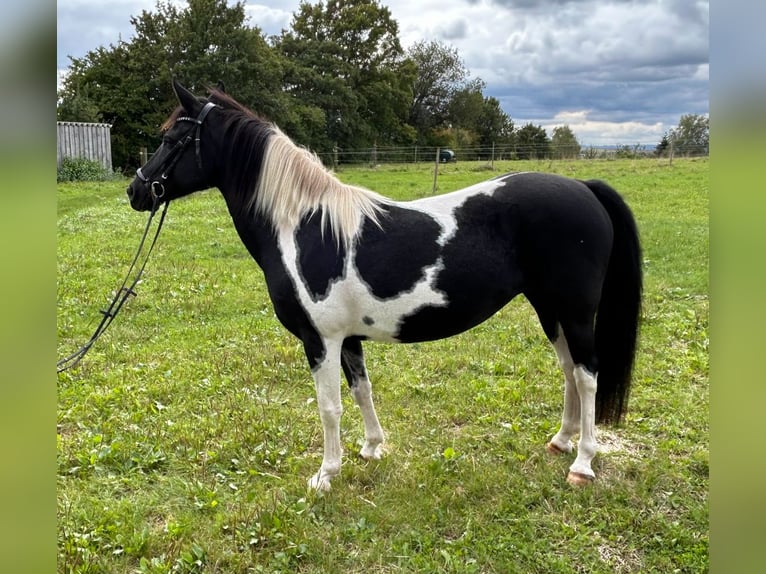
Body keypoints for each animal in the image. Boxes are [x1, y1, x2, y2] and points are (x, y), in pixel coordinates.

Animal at [127, 81, 640, 492]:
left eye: (171, 138)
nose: (136, 191)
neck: (304, 227)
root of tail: (584, 187)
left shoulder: (320, 340)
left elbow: (329, 407)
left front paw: (325, 476)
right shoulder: (348, 339)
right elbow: (361, 391)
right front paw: (372, 448)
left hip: (575, 311)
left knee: (588, 375)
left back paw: (583, 463)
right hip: (550, 309)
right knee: (569, 369)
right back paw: (560, 441)